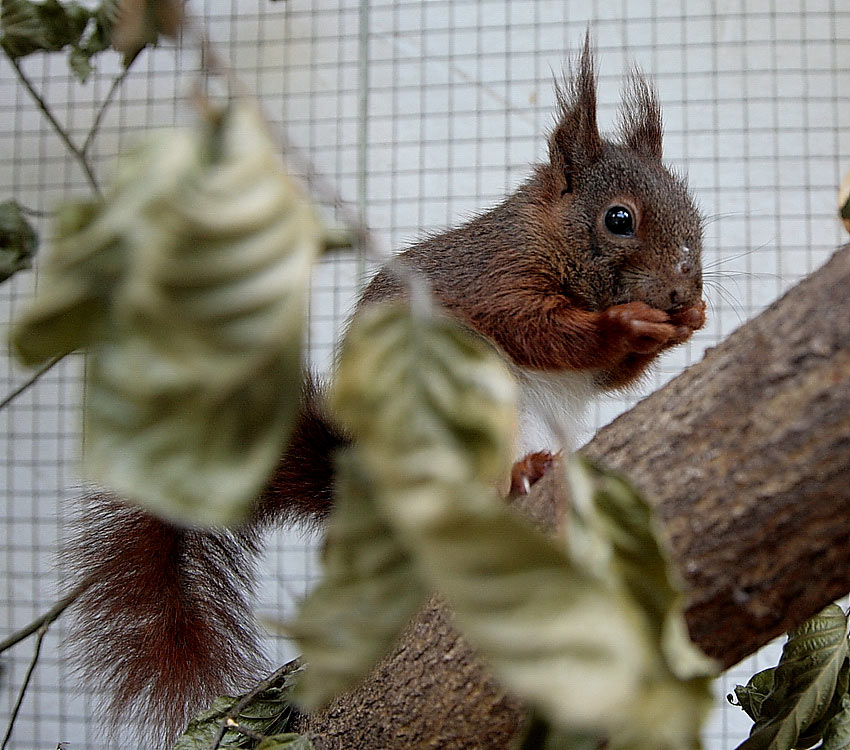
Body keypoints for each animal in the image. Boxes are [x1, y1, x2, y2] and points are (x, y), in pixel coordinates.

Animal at [63, 42, 704, 750]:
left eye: (693, 209)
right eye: (619, 219)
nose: (685, 287)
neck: (545, 240)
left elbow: (607, 377)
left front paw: (687, 323)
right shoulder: (491, 284)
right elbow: (541, 331)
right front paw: (626, 324)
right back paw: (518, 480)